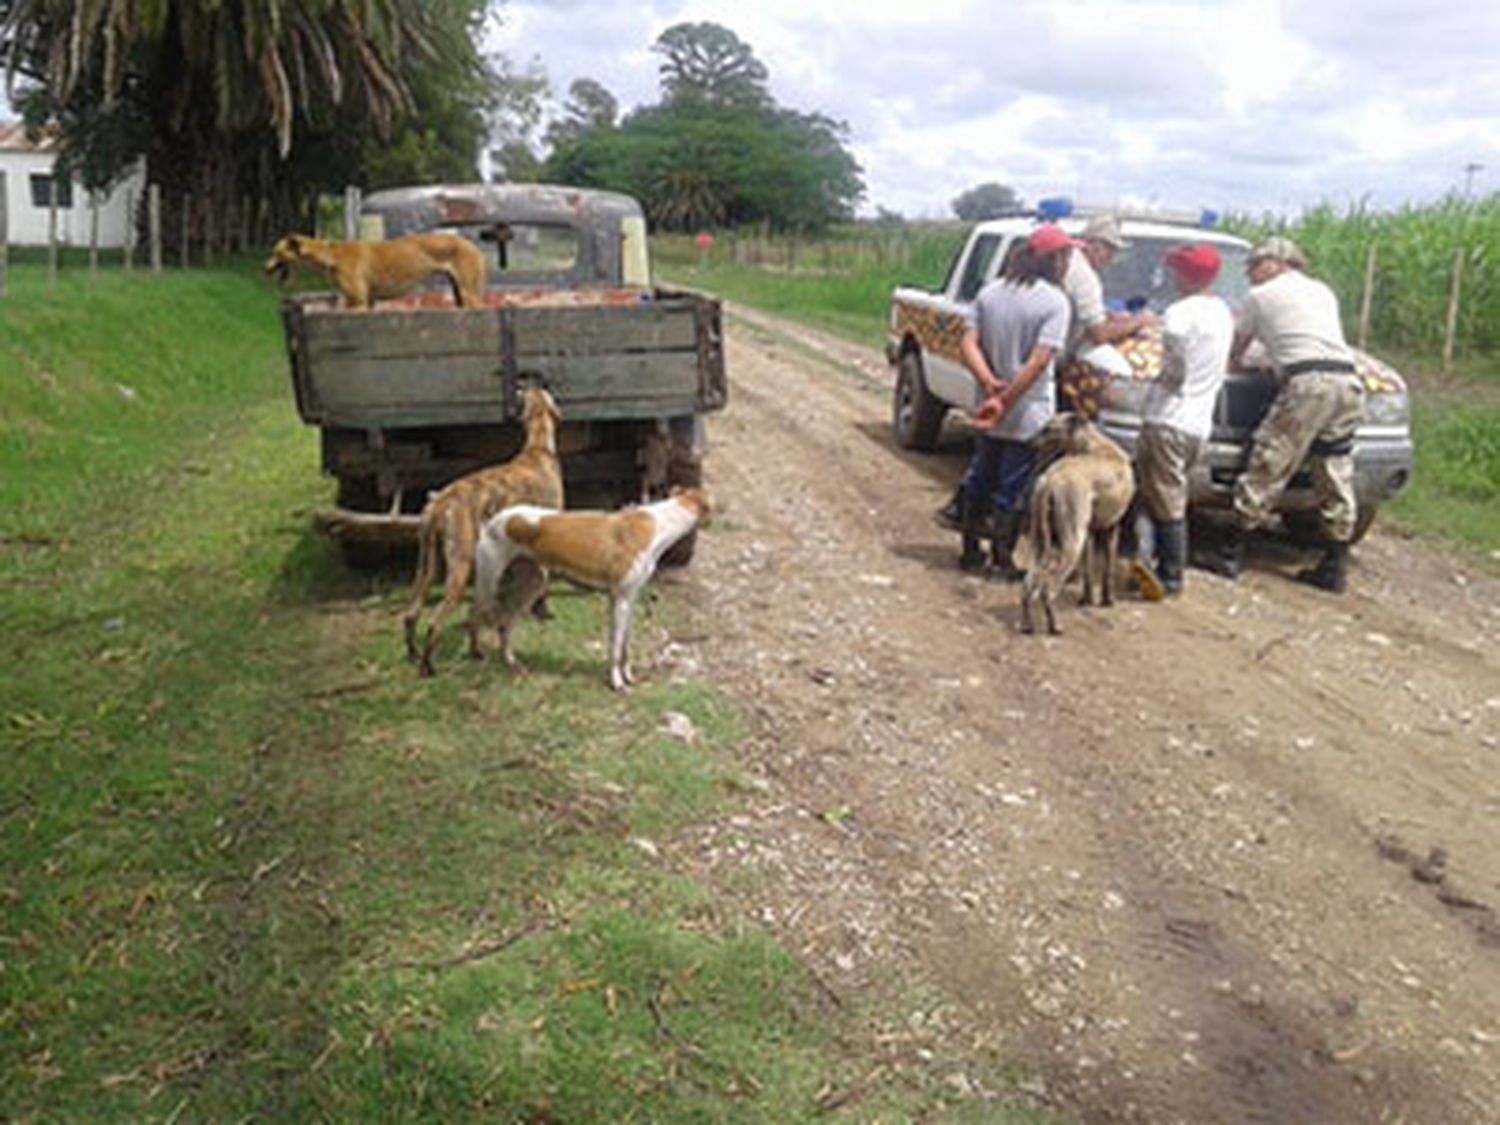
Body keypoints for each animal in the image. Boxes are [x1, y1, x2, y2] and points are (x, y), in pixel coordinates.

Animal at [264, 229, 486, 310]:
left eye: (277, 253)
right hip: (460, 294)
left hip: (470, 295)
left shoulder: (357, 303)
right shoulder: (367, 302)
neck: (331, 254)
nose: (263, 268)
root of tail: (472, 245)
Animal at [405, 387, 564, 678]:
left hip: (426, 568)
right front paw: (543, 610)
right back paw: (428, 666)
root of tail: (441, 502)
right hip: (460, 568)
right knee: (435, 624)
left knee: (412, 615)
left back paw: (419, 654)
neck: (537, 448)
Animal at [471, 489, 711, 693]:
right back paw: (476, 655)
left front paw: (628, 677)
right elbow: (615, 648)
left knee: (504, 627)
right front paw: (617, 683)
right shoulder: (620, 600)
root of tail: (493, 519)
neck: (657, 525)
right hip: (488, 586)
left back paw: (512, 663)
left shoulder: (629, 600)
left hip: (529, 587)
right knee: (474, 619)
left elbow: (625, 646)